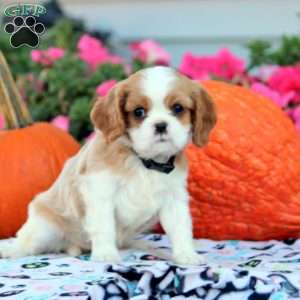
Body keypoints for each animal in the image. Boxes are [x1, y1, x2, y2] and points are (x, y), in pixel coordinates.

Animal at [0, 66, 216, 264]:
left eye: (178, 108)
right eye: (139, 112)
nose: (161, 125)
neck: (143, 161)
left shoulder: (174, 198)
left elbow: (180, 228)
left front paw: (186, 255)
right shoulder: (100, 193)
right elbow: (104, 226)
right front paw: (105, 254)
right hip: (45, 226)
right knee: (27, 242)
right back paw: (10, 249)